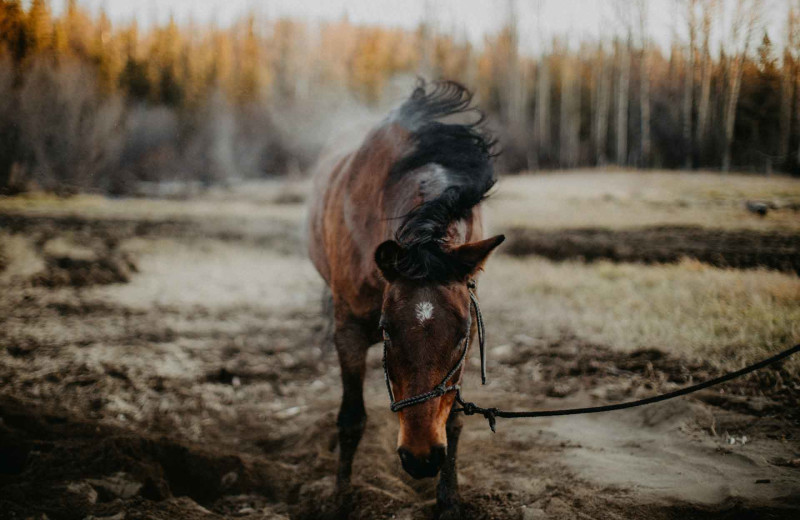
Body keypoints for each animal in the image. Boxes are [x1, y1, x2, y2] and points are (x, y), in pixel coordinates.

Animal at [308, 79, 504, 516]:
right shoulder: (348, 331)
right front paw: (340, 497)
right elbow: (351, 420)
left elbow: (453, 420)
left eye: (463, 334)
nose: (421, 457)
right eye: (387, 330)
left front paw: (449, 501)